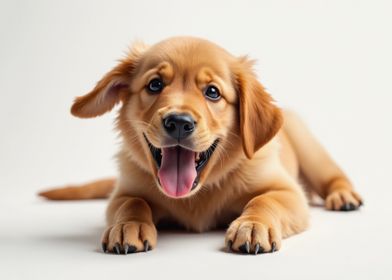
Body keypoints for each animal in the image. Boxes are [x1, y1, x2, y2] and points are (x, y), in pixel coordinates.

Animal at [39, 36, 362, 255]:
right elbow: (133, 202)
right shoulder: (124, 191)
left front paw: (252, 225)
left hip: (310, 150)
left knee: (333, 175)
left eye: (213, 92)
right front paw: (126, 226)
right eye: (155, 84)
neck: (197, 195)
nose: (179, 122)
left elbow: (263, 200)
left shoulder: (288, 191)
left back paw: (344, 196)